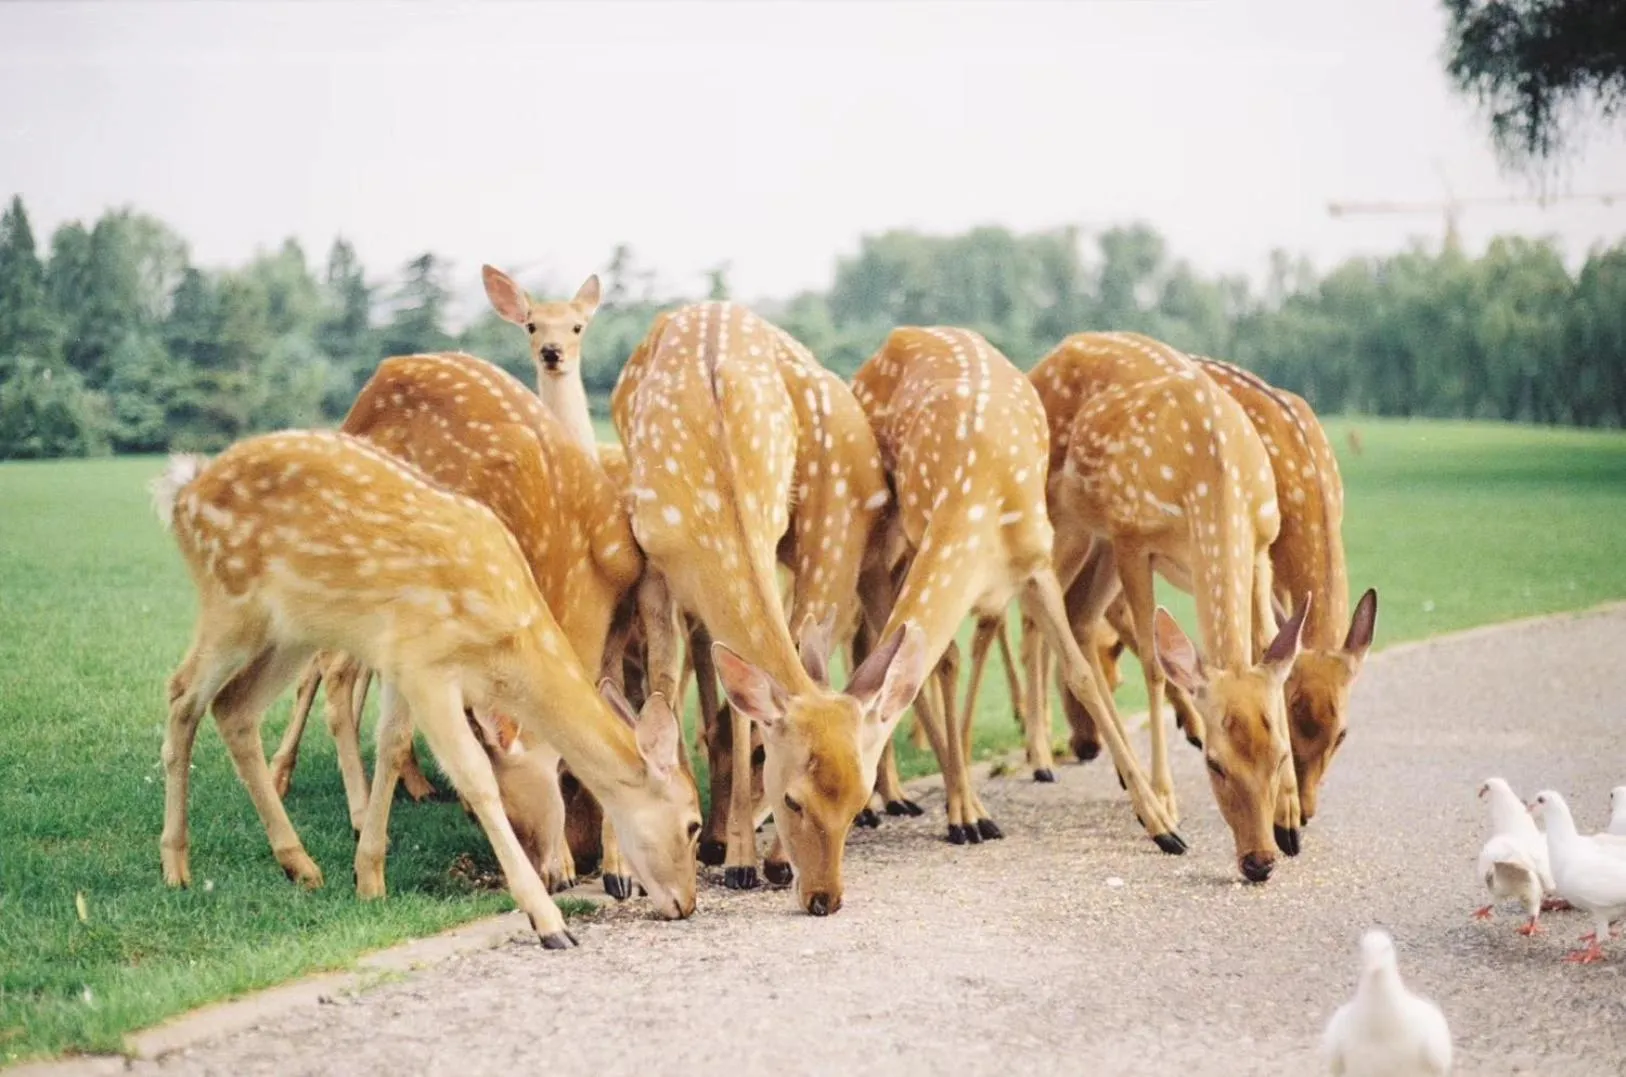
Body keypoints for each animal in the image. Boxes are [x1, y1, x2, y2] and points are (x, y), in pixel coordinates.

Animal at [150, 430, 700, 948]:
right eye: (692, 823)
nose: (687, 904)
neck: (503, 637)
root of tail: (182, 492)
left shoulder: (400, 665)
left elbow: (392, 747)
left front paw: (368, 878)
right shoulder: (428, 663)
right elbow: (474, 776)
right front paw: (549, 922)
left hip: (291, 631)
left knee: (233, 707)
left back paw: (300, 865)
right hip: (232, 605)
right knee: (182, 693)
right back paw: (176, 868)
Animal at [612, 300, 928, 914]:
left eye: (857, 802)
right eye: (795, 799)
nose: (825, 897)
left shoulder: (776, 527)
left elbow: (742, 704)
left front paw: (748, 857)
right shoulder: (652, 563)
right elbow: (667, 686)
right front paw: (728, 856)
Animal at [850, 326, 1186, 853]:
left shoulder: (1035, 561)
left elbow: (1079, 672)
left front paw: (1161, 823)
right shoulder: (928, 537)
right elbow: (945, 661)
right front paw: (964, 815)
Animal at [1029, 330, 1308, 883]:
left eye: (1281, 755)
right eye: (1214, 764)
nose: (1258, 862)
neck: (1210, 477)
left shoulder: (1261, 544)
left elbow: (1268, 645)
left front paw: (1290, 818)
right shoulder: (1135, 541)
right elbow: (1156, 669)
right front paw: (1167, 800)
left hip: (1096, 541)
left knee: (1079, 617)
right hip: (1065, 521)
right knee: (1038, 609)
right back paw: (1148, 811)